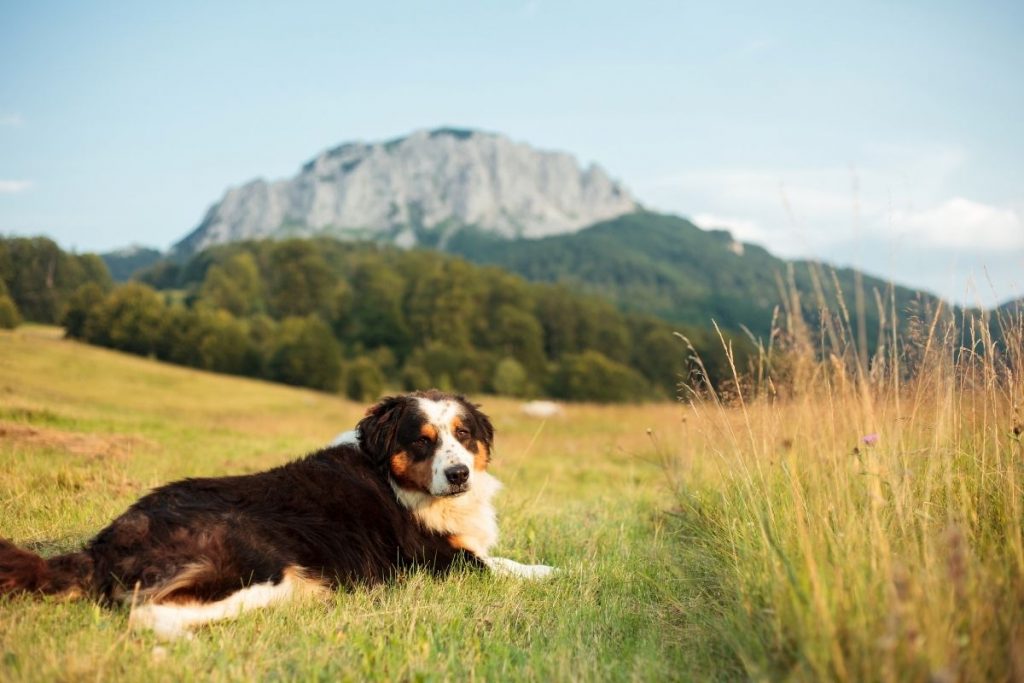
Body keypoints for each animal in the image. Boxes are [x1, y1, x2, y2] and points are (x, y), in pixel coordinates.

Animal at [0, 393, 557, 638]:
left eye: (464, 435)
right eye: (422, 441)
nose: (459, 474)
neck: (397, 478)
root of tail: (106, 540)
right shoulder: (436, 561)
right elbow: (499, 566)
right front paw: (549, 571)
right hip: (256, 565)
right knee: (147, 613)